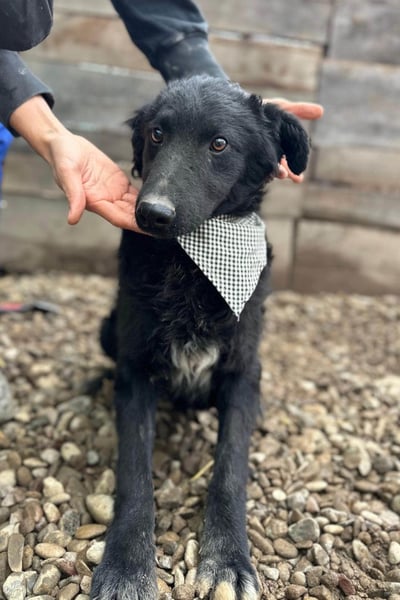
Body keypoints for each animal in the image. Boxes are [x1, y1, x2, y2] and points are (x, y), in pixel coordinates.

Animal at [91, 76, 310, 600]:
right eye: (157, 134)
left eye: (219, 144)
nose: (152, 213)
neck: (193, 261)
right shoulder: (135, 371)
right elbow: (134, 475)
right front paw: (126, 567)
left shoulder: (243, 371)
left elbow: (229, 469)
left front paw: (228, 559)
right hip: (109, 330)